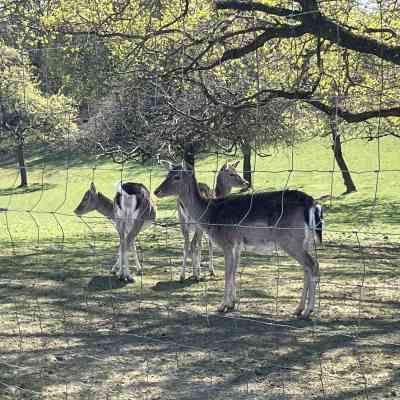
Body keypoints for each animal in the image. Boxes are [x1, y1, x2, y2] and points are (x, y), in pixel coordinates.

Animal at [155, 161, 324, 320]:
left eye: (176, 177)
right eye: (167, 173)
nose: (156, 191)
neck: (209, 215)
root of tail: (312, 204)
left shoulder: (227, 242)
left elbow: (228, 273)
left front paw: (222, 305)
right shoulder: (237, 245)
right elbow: (234, 271)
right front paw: (232, 303)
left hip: (291, 240)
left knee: (312, 265)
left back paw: (308, 311)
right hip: (305, 241)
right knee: (307, 268)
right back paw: (298, 309)